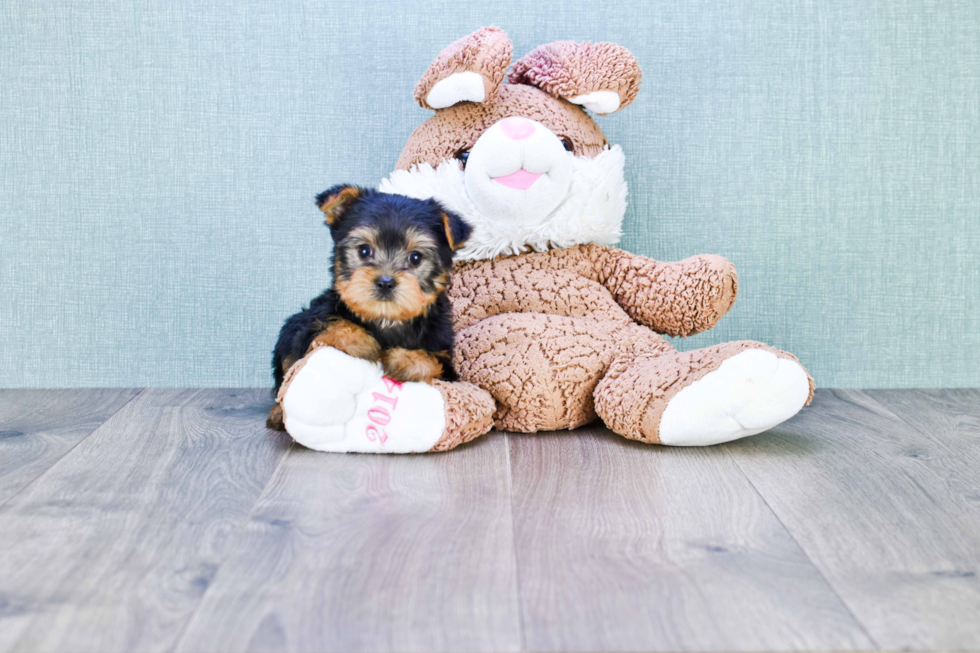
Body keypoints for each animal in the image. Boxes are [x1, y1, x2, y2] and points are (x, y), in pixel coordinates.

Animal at [266, 185, 468, 428]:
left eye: (416, 257)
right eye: (364, 251)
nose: (385, 282)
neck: (386, 319)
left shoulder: (444, 356)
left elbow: (431, 360)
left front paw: (404, 360)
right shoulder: (308, 329)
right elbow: (331, 325)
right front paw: (362, 342)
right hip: (292, 328)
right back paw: (278, 413)